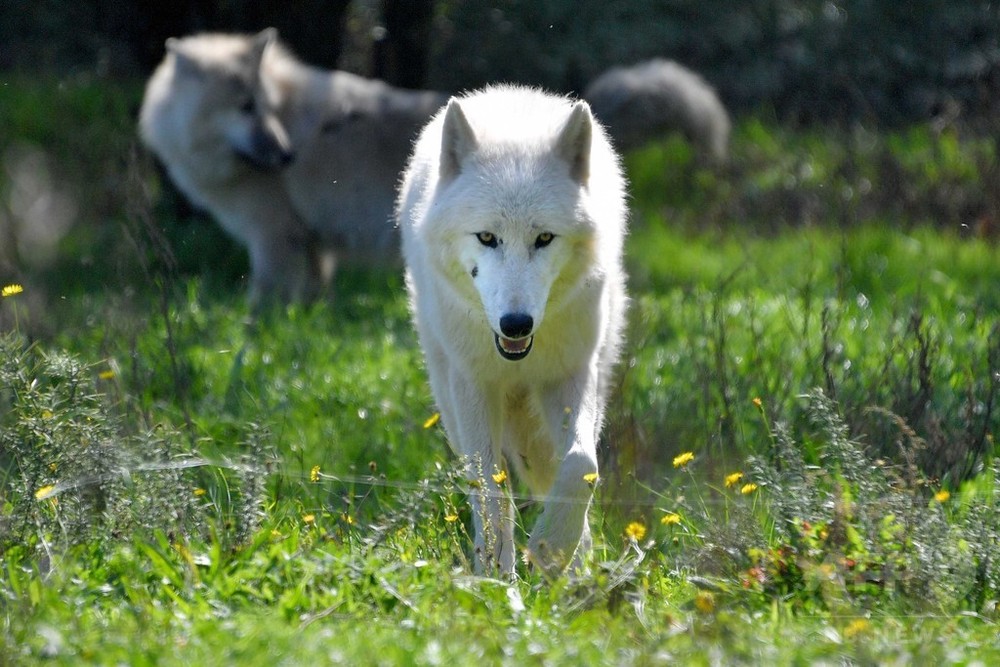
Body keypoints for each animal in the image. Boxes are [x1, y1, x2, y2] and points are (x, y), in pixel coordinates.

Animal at [396, 86, 624, 576]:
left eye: (544, 239)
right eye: (486, 237)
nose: (515, 323)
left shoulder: (572, 373)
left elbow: (582, 465)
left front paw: (553, 548)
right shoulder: (473, 382)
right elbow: (489, 489)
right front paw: (496, 578)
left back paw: (579, 573)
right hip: (449, 398)